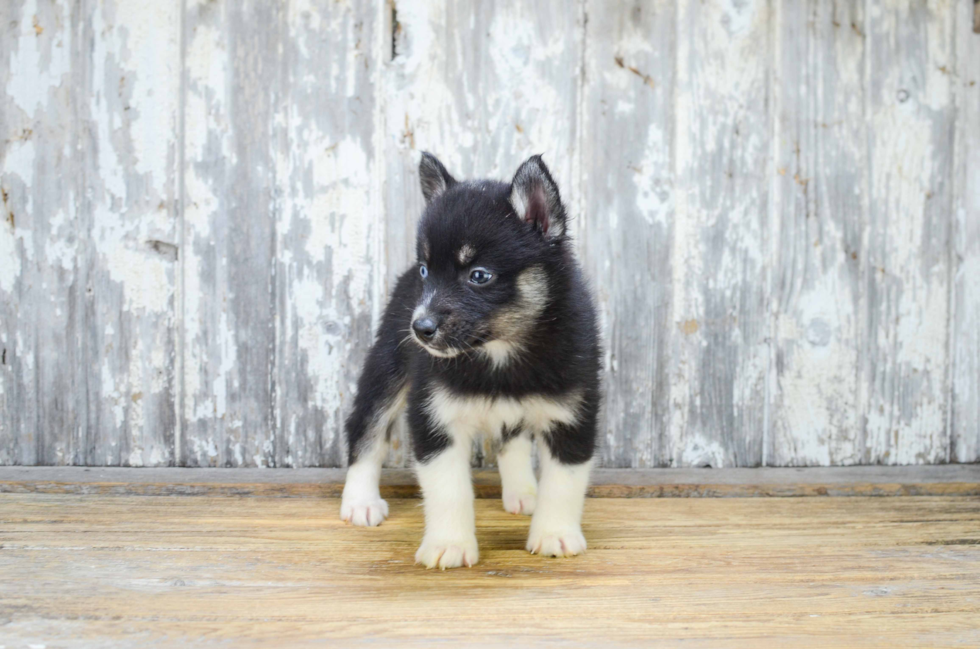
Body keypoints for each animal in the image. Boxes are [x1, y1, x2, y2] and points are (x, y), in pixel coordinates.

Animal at [340, 152, 600, 568]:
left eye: (479, 275)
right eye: (426, 270)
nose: (420, 328)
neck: (500, 351)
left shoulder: (572, 415)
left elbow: (564, 483)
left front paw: (554, 535)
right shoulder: (434, 416)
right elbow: (449, 490)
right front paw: (449, 544)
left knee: (511, 440)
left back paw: (522, 491)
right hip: (386, 369)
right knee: (366, 428)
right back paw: (360, 501)